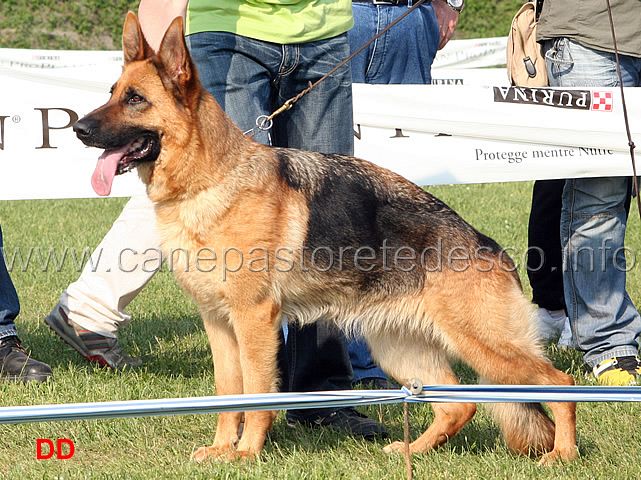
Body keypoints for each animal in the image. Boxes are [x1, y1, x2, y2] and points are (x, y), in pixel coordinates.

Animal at [72, 13, 576, 464]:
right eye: (112, 94)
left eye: (135, 99)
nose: (78, 129)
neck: (210, 180)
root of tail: (489, 246)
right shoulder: (218, 323)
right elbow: (228, 394)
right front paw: (221, 449)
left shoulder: (254, 320)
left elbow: (257, 392)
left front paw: (246, 453)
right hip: (400, 348)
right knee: (459, 402)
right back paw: (411, 451)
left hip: (486, 346)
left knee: (560, 384)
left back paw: (563, 454)